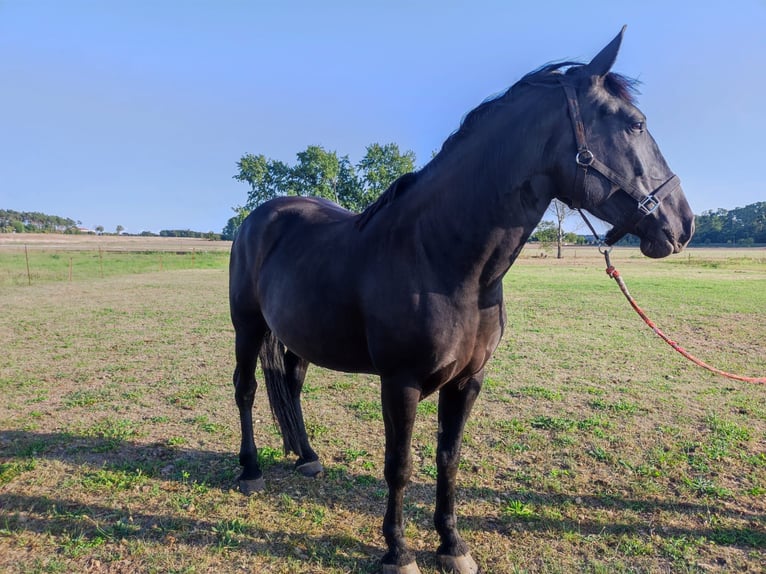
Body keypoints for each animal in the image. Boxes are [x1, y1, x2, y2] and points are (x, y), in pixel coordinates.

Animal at [228, 29, 696, 572]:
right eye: (635, 123)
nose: (682, 224)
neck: (442, 258)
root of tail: (260, 216)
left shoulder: (469, 380)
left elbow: (447, 459)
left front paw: (452, 545)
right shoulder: (400, 383)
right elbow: (400, 464)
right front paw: (398, 551)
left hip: (299, 337)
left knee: (292, 385)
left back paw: (307, 457)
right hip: (248, 326)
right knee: (245, 389)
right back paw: (251, 470)